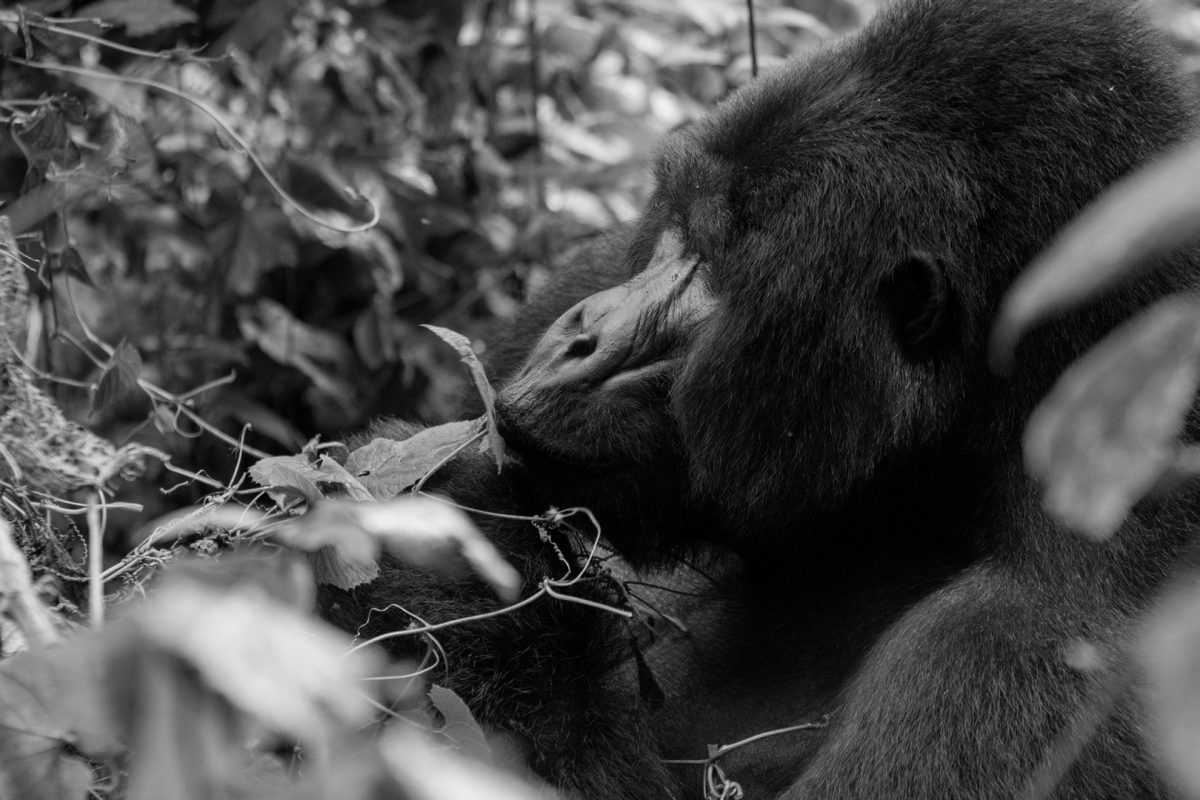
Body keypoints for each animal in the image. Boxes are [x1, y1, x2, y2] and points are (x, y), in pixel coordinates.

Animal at [324, 0, 1200, 796]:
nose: (580, 336)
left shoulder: (1033, 652)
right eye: (677, 230)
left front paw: (441, 548)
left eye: (716, 265)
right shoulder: (598, 263)